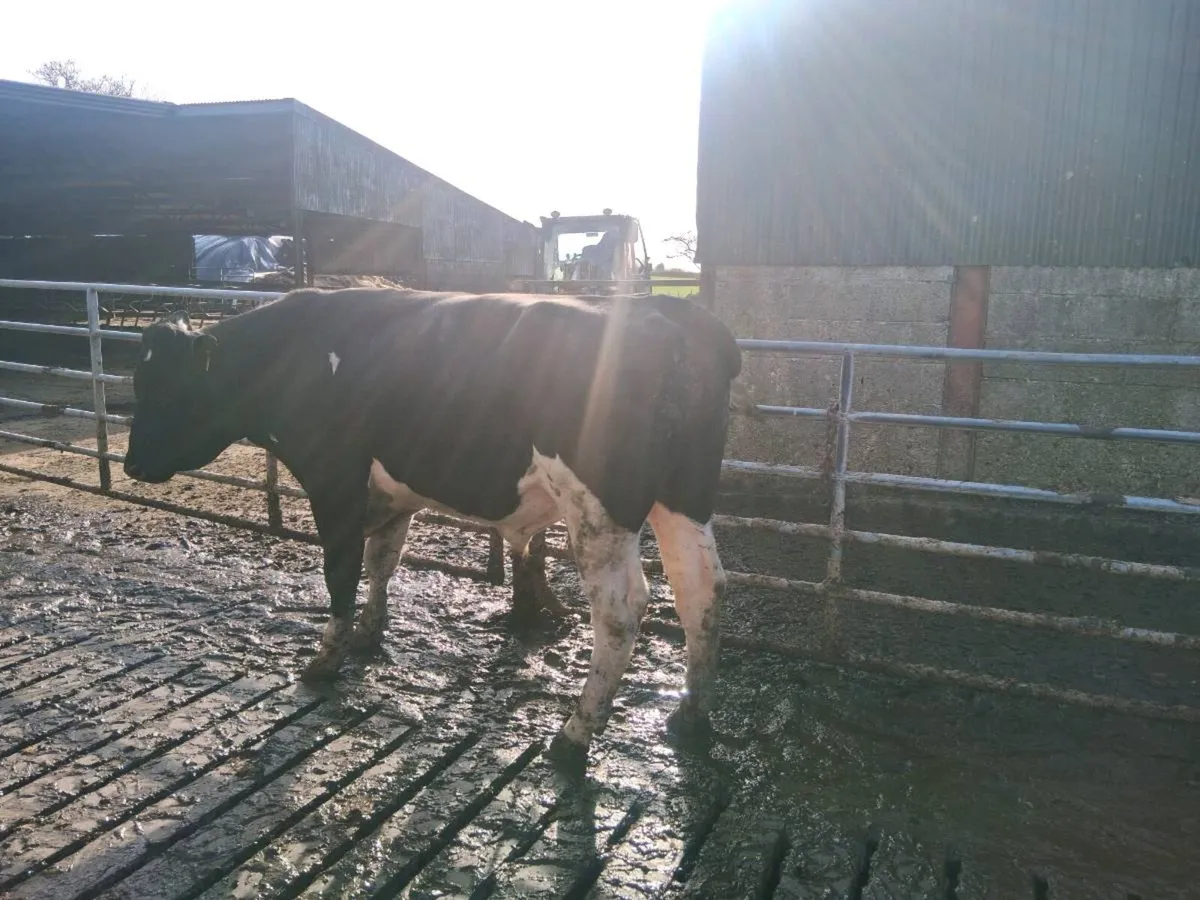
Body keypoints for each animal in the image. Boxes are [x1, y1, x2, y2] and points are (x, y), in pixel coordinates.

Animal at [122, 287, 741, 765]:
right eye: (138, 381)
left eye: (170, 387)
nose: (130, 465)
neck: (294, 353)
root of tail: (670, 315)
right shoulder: (394, 495)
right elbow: (382, 561)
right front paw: (370, 631)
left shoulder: (334, 478)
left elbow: (340, 569)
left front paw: (325, 658)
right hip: (685, 495)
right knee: (702, 589)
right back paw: (692, 713)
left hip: (597, 510)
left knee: (621, 611)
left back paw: (574, 735)